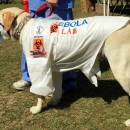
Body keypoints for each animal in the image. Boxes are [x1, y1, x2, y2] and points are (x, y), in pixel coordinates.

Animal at [0, 7, 130, 126]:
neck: (24, 25)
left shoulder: (39, 71)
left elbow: (39, 94)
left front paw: (37, 109)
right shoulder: (55, 70)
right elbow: (56, 89)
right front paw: (54, 101)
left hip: (120, 71)